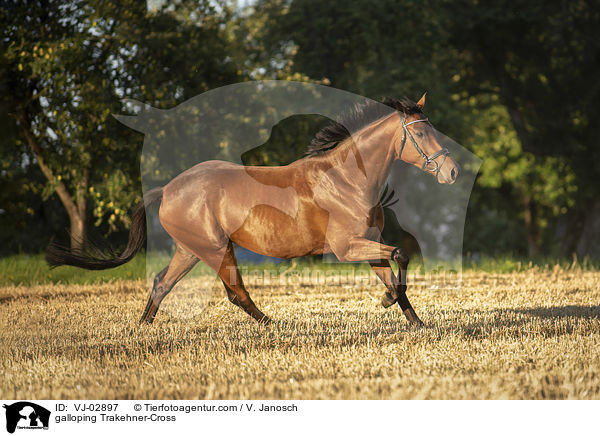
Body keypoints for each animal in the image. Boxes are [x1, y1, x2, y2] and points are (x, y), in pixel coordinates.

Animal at [47, 94, 460, 328]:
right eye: (420, 133)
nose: (452, 172)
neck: (346, 179)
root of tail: (168, 189)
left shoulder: (368, 243)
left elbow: (395, 272)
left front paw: (417, 323)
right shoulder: (347, 248)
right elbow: (401, 255)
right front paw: (390, 303)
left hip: (191, 249)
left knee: (163, 283)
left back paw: (142, 330)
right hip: (215, 248)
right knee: (235, 292)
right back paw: (274, 325)